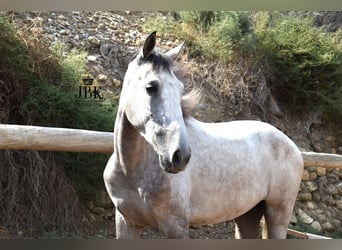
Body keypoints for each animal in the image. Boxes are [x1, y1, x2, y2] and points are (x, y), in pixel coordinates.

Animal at [103, 32, 304, 239]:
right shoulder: (126, 222)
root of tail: (293, 147)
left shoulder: (176, 227)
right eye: (151, 86)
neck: (131, 170)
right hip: (247, 214)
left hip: (277, 215)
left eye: (180, 90)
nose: (180, 156)